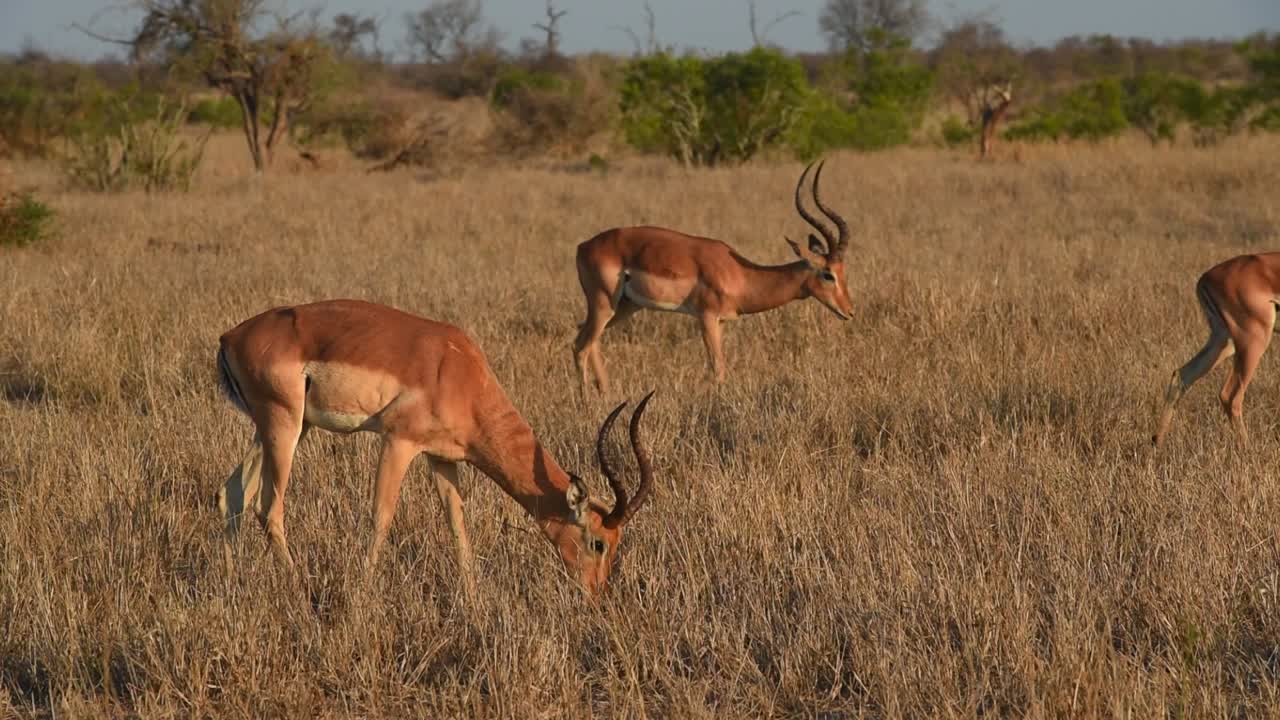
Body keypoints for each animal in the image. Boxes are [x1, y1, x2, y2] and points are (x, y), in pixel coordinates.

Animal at [216, 299, 655, 597]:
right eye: (598, 542)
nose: (595, 594)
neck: (457, 371)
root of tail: (230, 337)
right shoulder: (398, 441)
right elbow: (381, 517)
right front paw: (363, 594)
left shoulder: (442, 458)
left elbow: (457, 525)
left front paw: (474, 601)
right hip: (283, 425)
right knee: (268, 508)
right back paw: (298, 589)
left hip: (285, 427)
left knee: (233, 493)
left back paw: (230, 582)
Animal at [572, 160, 854, 396]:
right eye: (828, 274)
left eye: (843, 271)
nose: (849, 311)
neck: (740, 274)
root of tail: (583, 246)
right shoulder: (705, 317)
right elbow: (717, 369)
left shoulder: (721, 322)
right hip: (604, 303)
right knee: (580, 345)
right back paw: (586, 404)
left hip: (626, 306)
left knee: (588, 337)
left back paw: (605, 393)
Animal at [1153, 253, 1280, 448]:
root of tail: (1205, 278)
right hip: (1253, 341)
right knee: (1230, 395)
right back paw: (1248, 450)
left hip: (1223, 340)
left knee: (1182, 375)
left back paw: (1157, 443)